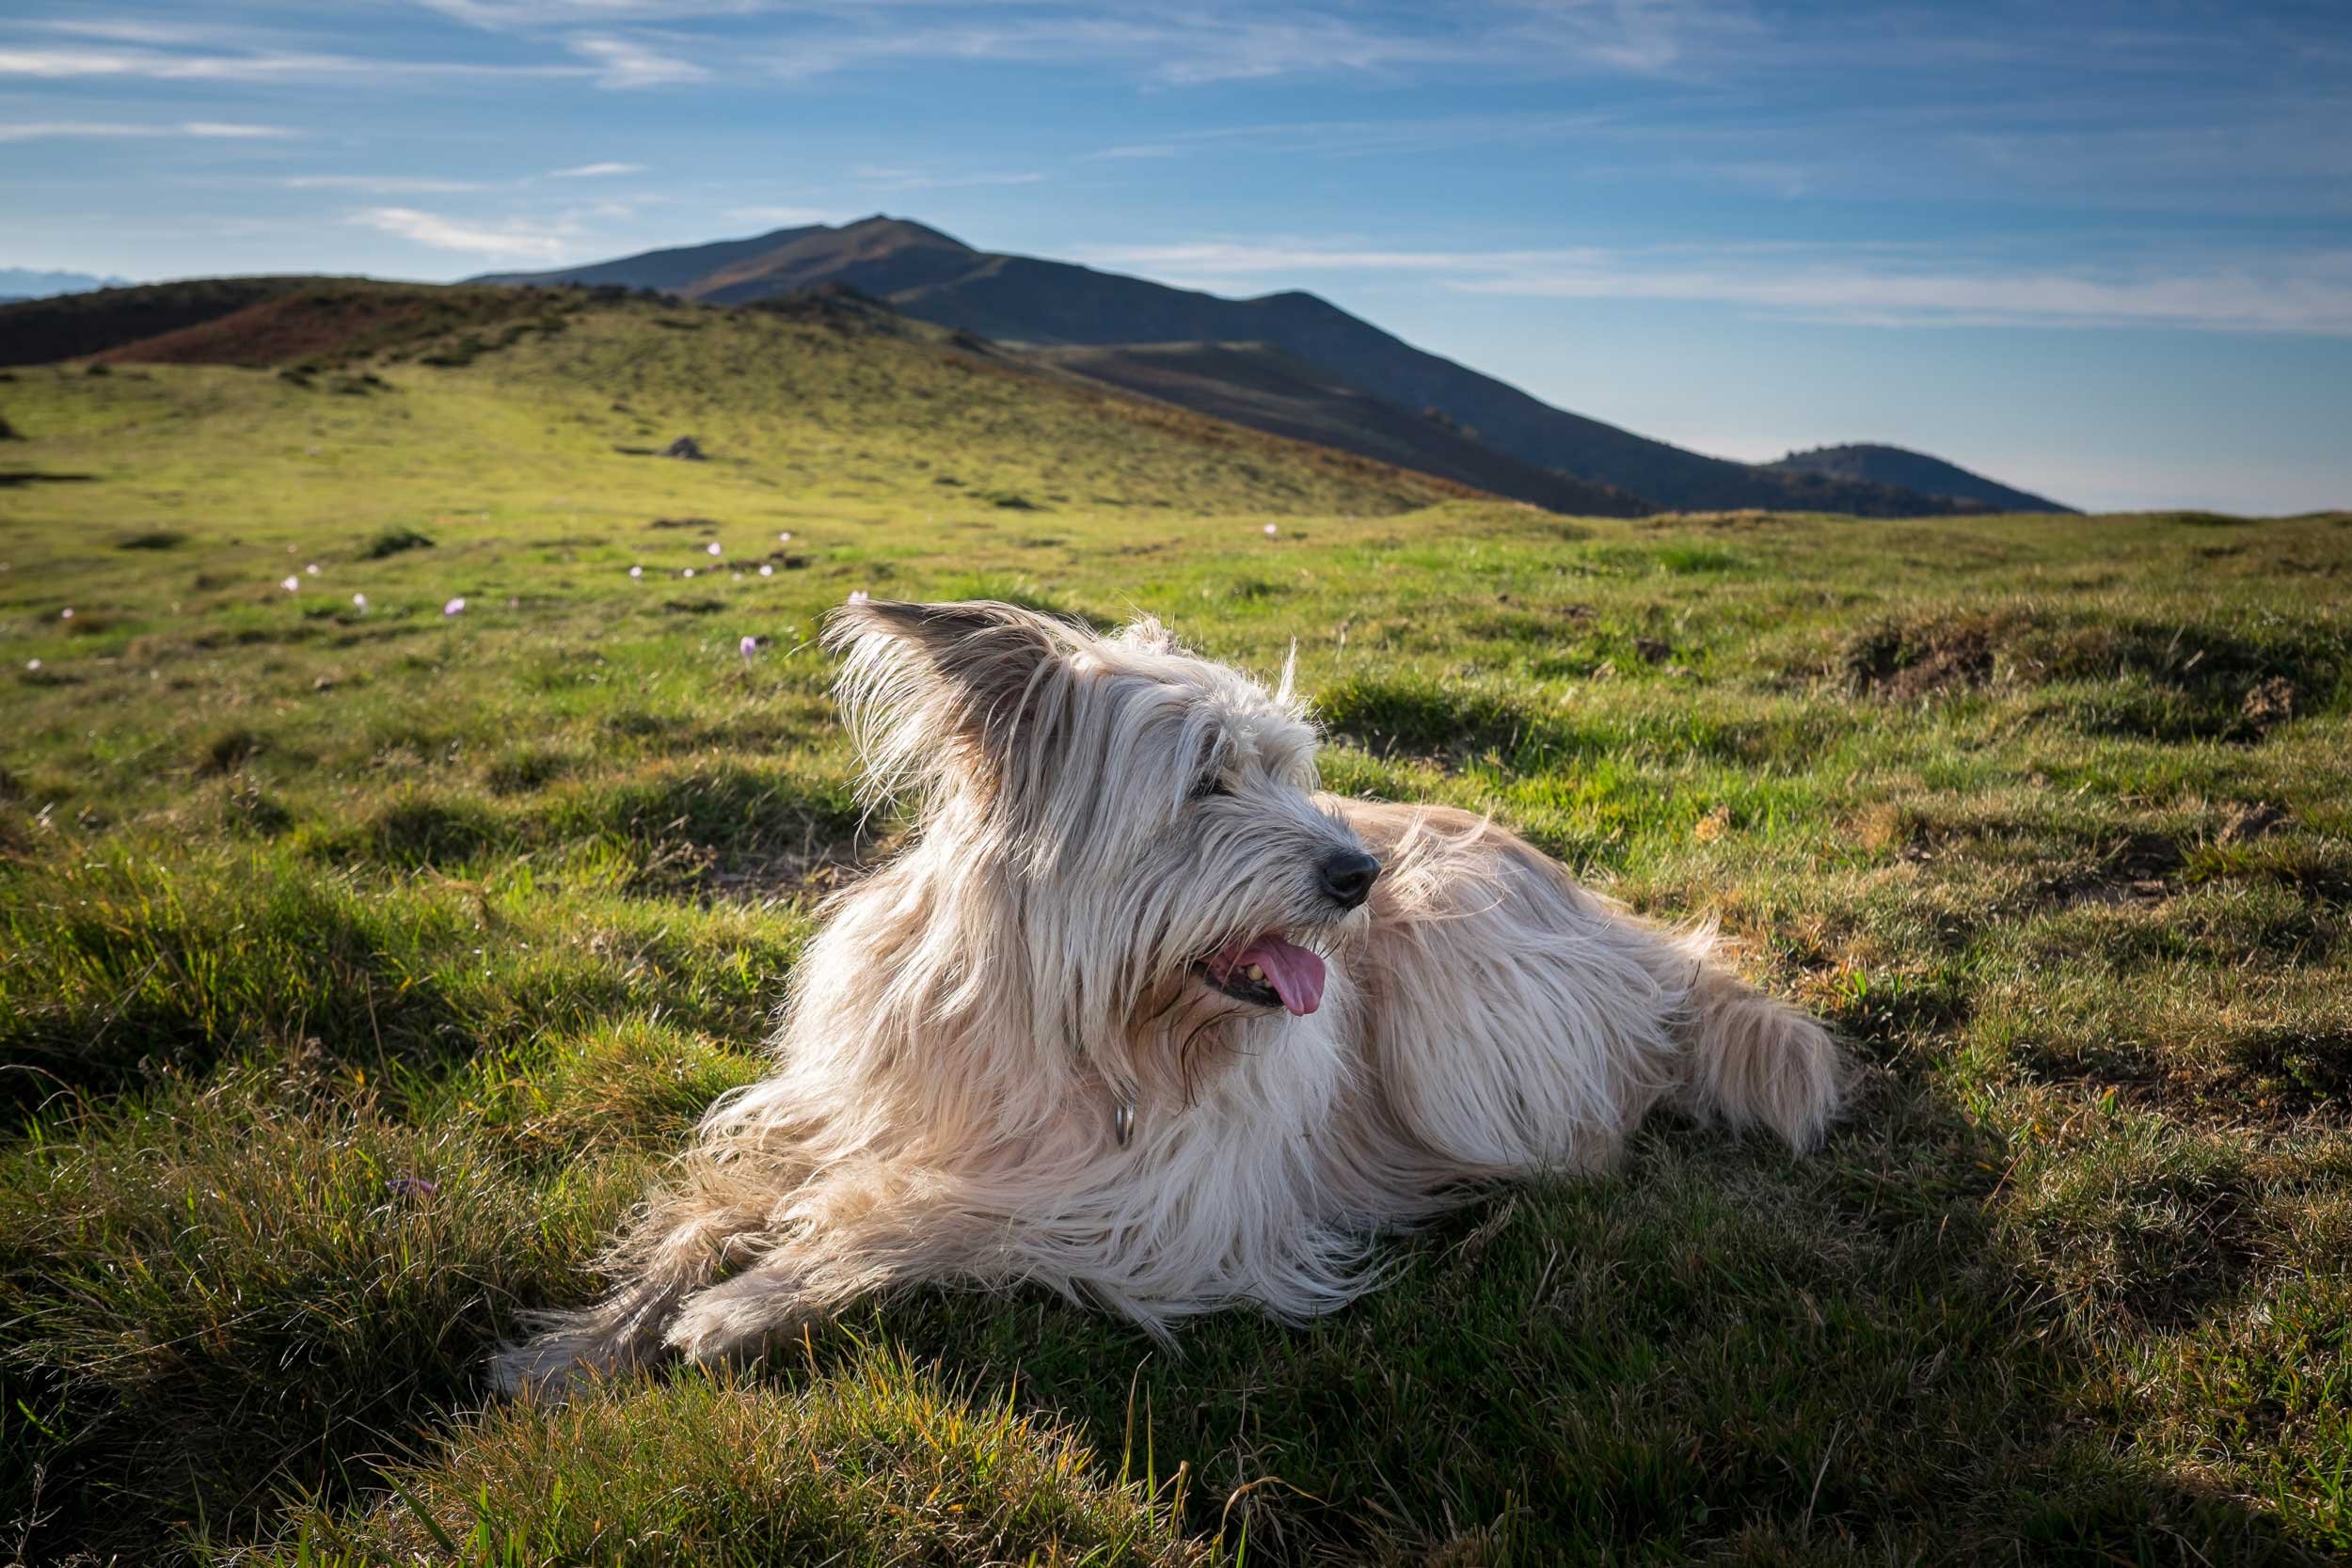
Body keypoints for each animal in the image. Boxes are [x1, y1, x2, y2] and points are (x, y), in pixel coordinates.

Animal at [491, 601, 1835, 1401]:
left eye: (1289, 771)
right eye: (1204, 782)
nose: (1359, 876)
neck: (1065, 1023)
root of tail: (1635, 938)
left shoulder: (1159, 1213)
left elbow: (932, 1215)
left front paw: (749, 1299)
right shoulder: (835, 1110)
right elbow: (704, 1203)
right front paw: (574, 1343)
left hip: (1459, 979)